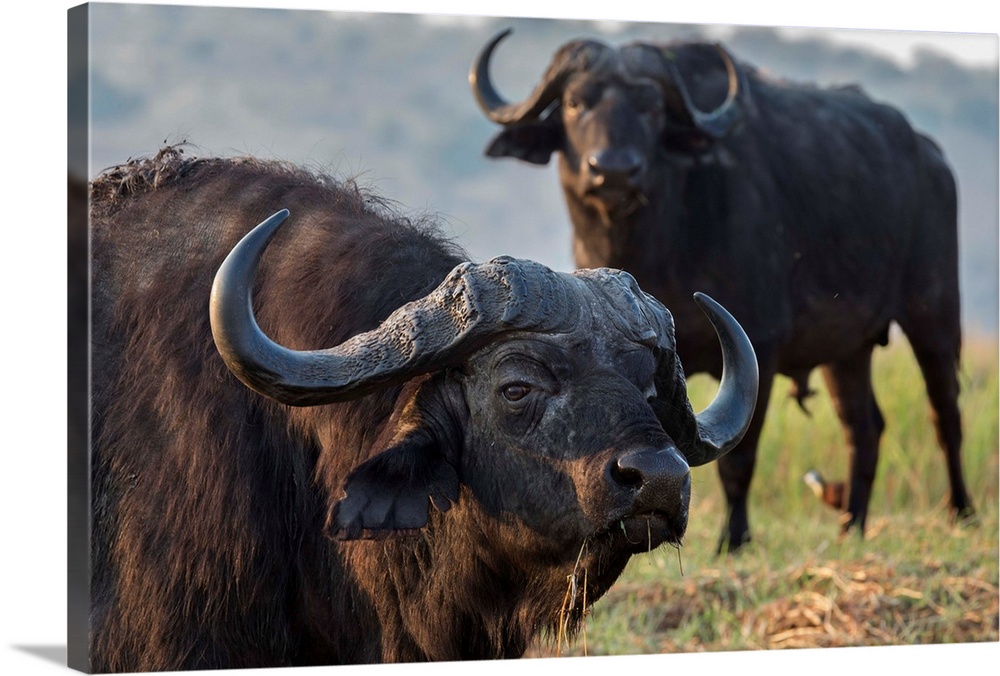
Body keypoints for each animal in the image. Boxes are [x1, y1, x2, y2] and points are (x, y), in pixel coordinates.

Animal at [470, 29, 976, 552]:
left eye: (651, 107)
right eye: (573, 103)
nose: (613, 170)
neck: (659, 245)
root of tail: (929, 154)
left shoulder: (759, 348)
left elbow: (738, 459)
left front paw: (734, 540)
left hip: (934, 313)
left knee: (945, 413)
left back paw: (960, 511)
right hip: (847, 350)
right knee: (864, 427)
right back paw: (851, 525)